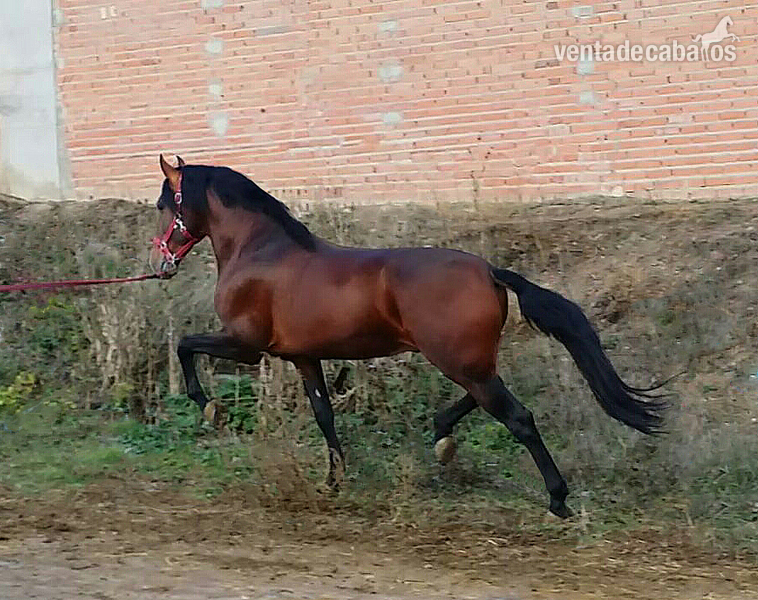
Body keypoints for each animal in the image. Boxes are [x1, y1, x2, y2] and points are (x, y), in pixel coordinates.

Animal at [150, 155, 667, 518]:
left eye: (162, 205)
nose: (159, 262)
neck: (260, 251)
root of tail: (489, 271)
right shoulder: (304, 358)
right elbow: (324, 416)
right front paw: (334, 481)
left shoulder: (246, 346)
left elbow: (185, 346)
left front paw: (211, 408)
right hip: (467, 360)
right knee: (482, 398)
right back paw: (442, 437)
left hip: (455, 359)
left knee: (518, 417)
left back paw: (557, 499)